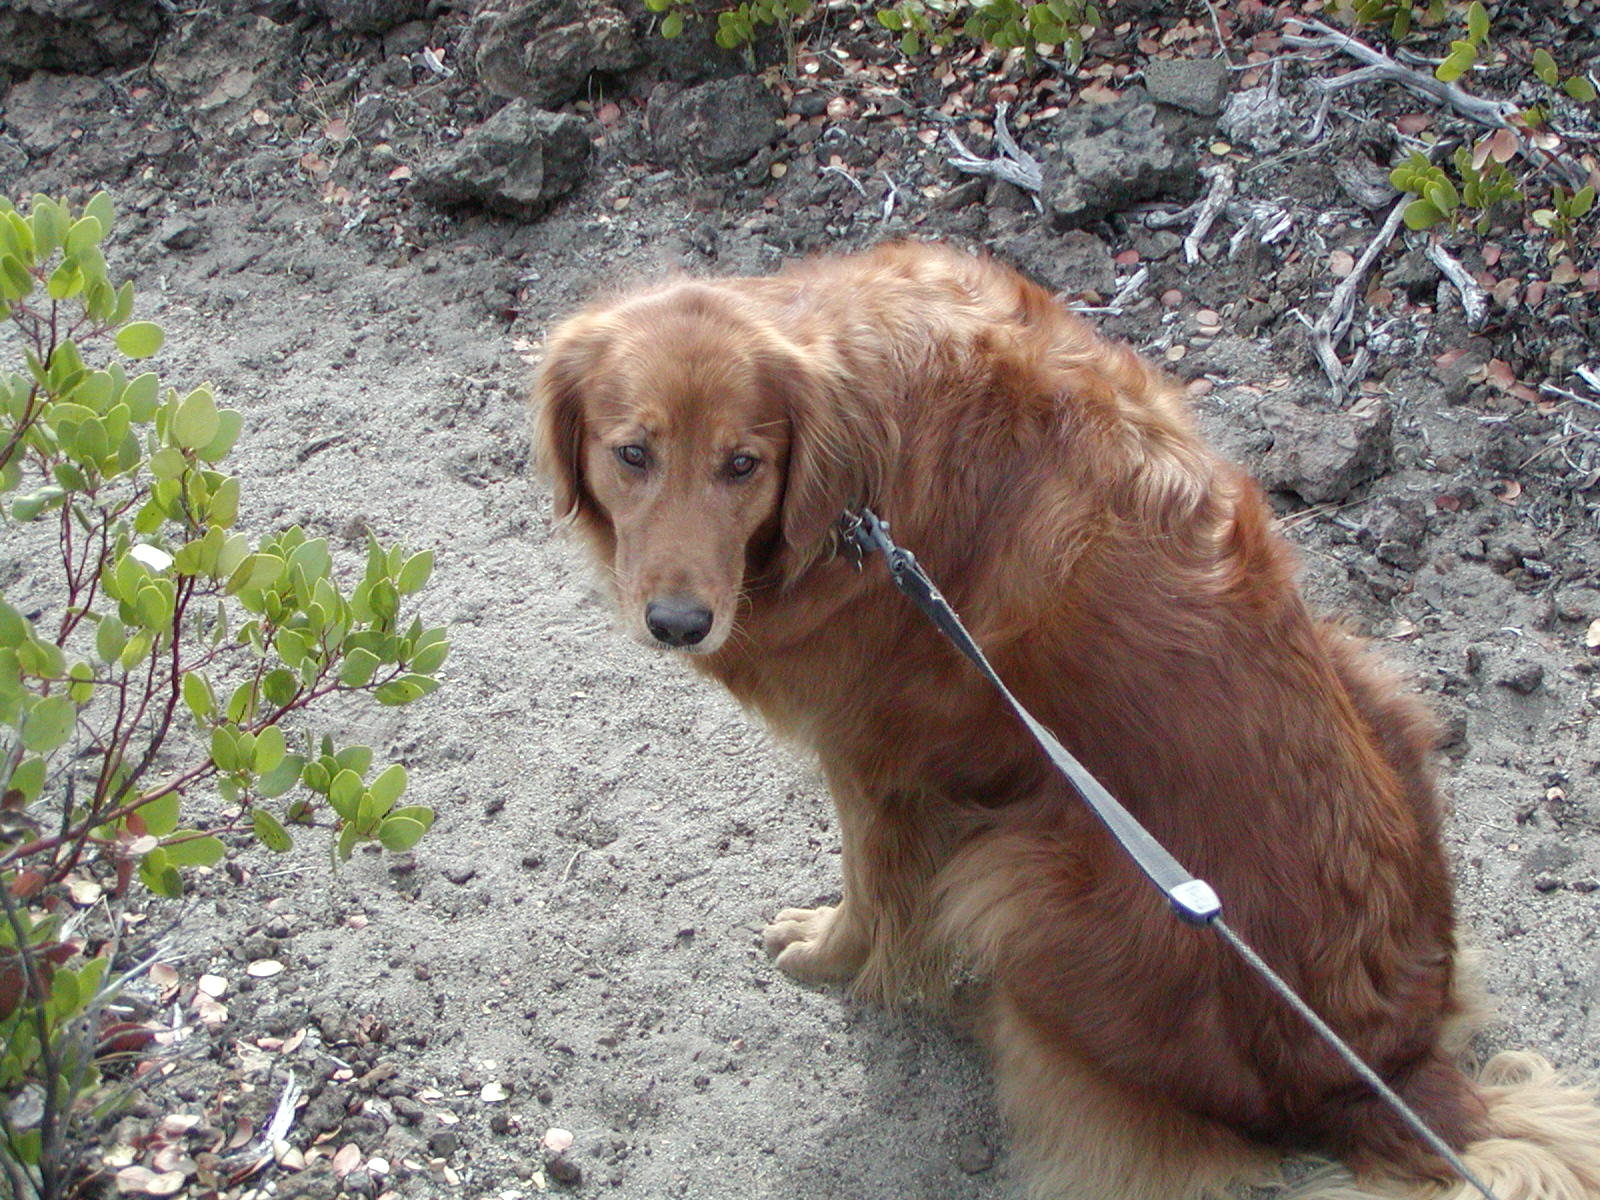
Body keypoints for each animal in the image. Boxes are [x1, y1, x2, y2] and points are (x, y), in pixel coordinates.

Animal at [537, 244, 1600, 1200]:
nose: (680, 623)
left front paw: (836, 954)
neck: (859, 479)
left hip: (1028, 880)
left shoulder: (873, 757)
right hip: (1366, 676)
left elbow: (874, 893)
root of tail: (1390, 1073)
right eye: (632, 454)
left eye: (743, 464)